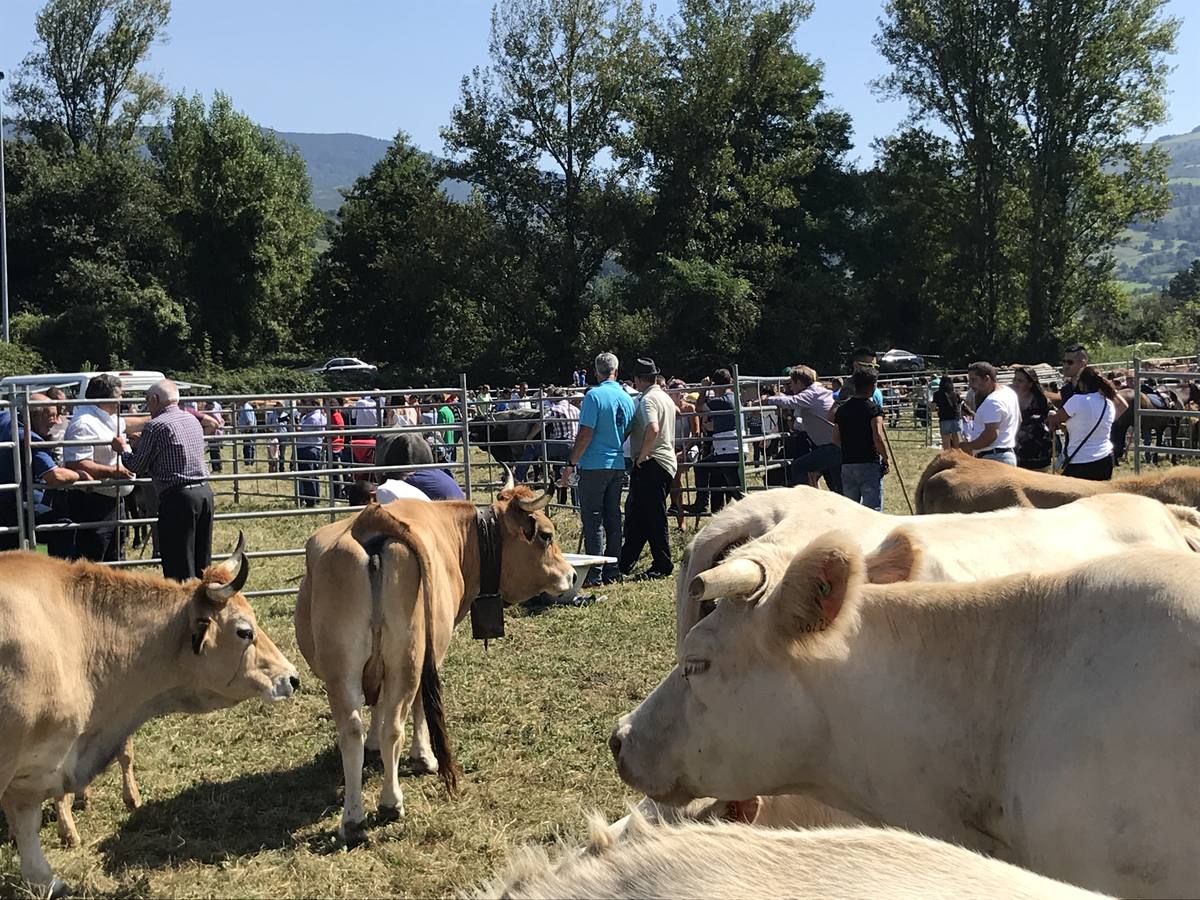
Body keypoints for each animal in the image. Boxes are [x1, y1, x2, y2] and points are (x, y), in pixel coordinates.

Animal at [292, 465, 568, 844]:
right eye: (545, 534)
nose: (570, 574)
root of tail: (371, 522)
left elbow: (378, 707)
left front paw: (375, 746)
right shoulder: (432, 652)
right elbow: (420, 705)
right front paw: (423, 758)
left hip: (341, 668)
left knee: (350, 731)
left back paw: (353, 818)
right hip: (409, 657)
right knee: (397, 723)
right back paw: (391, 802)